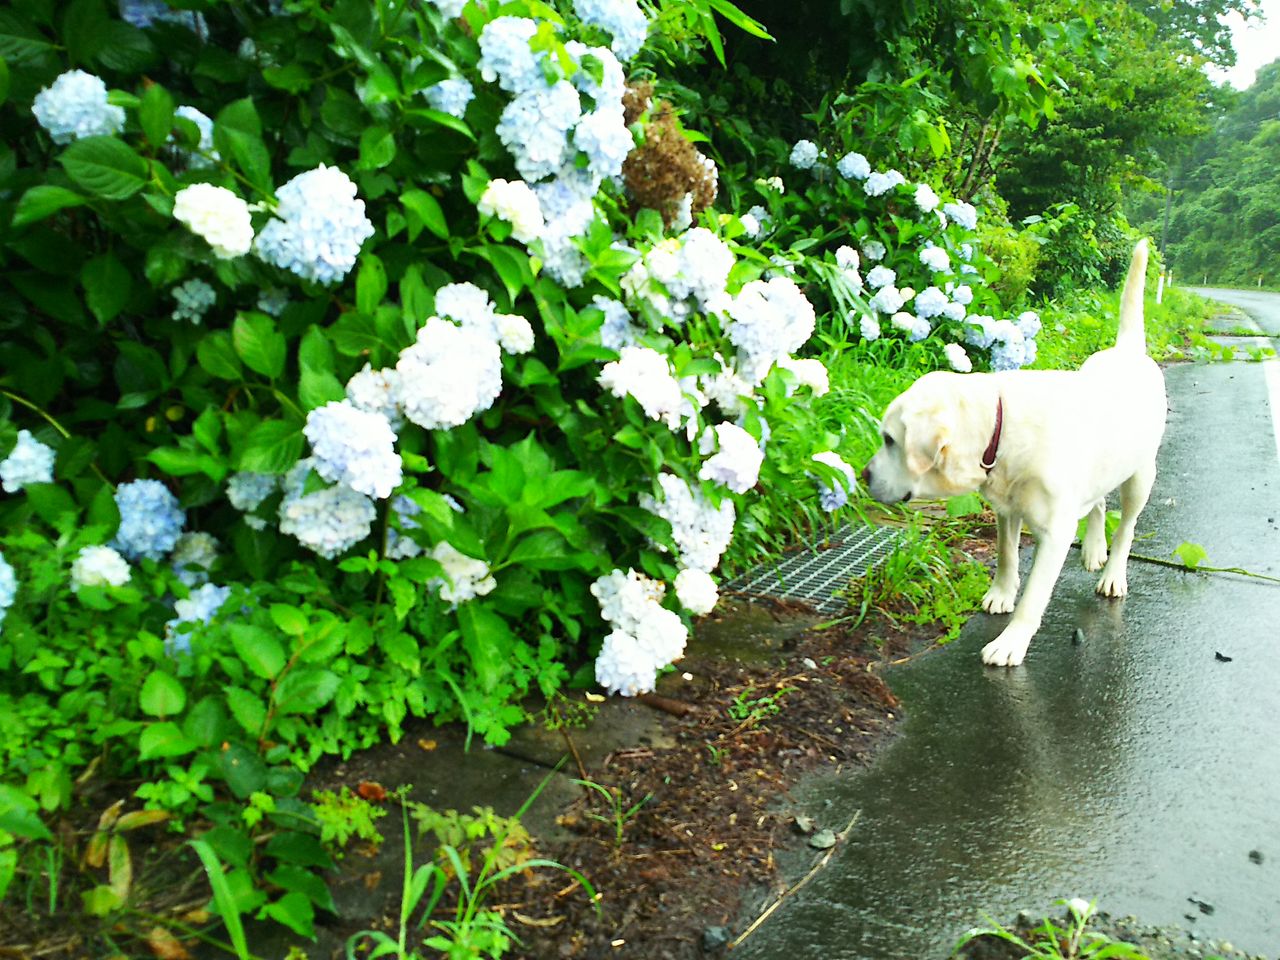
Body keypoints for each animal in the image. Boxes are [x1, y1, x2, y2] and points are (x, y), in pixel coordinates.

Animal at [865, 239, 1167, 670]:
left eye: (890, 440)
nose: (864, 475)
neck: (1001, 425)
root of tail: (1128, 350)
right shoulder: (1006, 508)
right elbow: (1007, 554)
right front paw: (1001, 593)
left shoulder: (1055, 533)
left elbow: (1035, 596)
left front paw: (1011, 642)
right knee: (1095, 504)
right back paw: (1094, 549)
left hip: (1141, 474)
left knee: (1126, 527)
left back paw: (1112, 574)